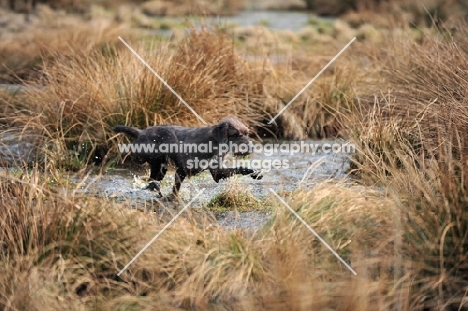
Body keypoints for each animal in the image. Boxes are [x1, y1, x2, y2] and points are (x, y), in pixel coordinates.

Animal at [112, 116, 262, 199]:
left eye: (247, 133)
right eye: (236, 134)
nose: (251, 147)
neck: (212, 142)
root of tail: (140, 132)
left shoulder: (217, 172)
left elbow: (238, 169)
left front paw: (254, 173)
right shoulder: (182, 171)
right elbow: (175, 190)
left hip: (161, 167)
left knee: (151, 182)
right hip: (157, 163)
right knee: (152, 181)